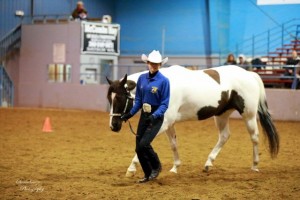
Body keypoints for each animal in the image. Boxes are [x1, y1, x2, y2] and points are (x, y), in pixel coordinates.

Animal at [106, 65, 278, 176]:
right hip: (221, 115)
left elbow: (144, 142)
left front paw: (131, 169)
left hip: (248, 115)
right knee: (224, 136)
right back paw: (208, 164)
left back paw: (255, 165)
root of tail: (250, 74)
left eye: (120, 98)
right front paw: (175, 168)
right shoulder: (168, 123)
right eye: (110, 98)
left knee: (254, 137)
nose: (113, 126)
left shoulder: (163, 122)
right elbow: (173, 144)